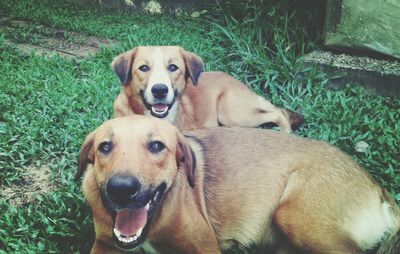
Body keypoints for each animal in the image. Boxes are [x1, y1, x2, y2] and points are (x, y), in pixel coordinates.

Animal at [76, 115, 400, 254]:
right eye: (105, 147)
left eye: (157, 146)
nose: (121, 188)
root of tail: (379, 189)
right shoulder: (104, 245)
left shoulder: (204, 248)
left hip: (296, 217)